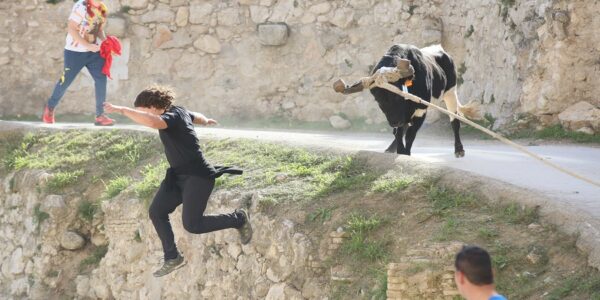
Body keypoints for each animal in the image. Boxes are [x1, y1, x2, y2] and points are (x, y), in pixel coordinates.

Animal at [332, 44, 478, 158]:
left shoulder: (420, 109)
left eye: (397, 96)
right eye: (377, 99)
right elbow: (398, 132)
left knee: (455, 121)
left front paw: (405, 154)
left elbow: (410, 135)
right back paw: (391, 148)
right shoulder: (400, 116)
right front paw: (400, 151)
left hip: (450, 92)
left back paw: (459, 149)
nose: (394, 121)